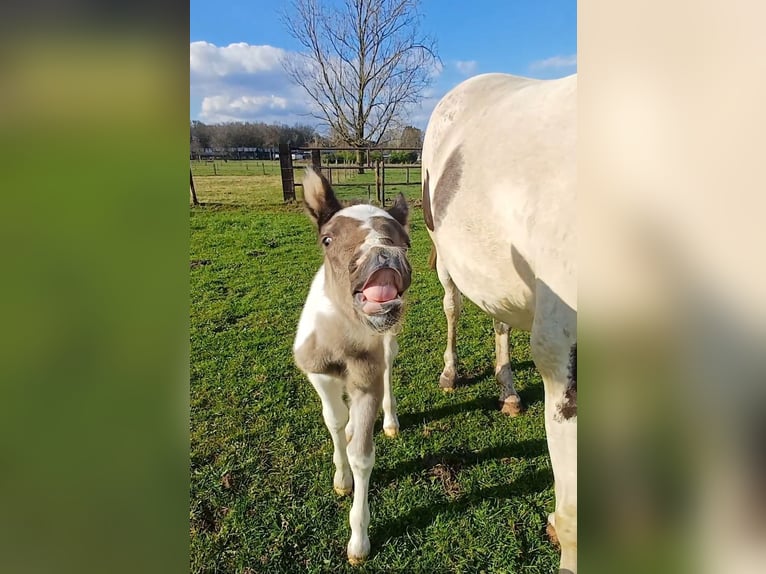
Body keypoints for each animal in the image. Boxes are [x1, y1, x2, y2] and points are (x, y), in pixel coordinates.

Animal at [296, 168, 414, 568]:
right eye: (327, 239)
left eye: (406, 243)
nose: (383, 254)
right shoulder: (318, 372)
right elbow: (334, 420)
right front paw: (341, 479)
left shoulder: (367, 378)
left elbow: (362, 455)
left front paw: (358, 543)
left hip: (388, 342)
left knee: (390, 366)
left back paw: (390, 421)